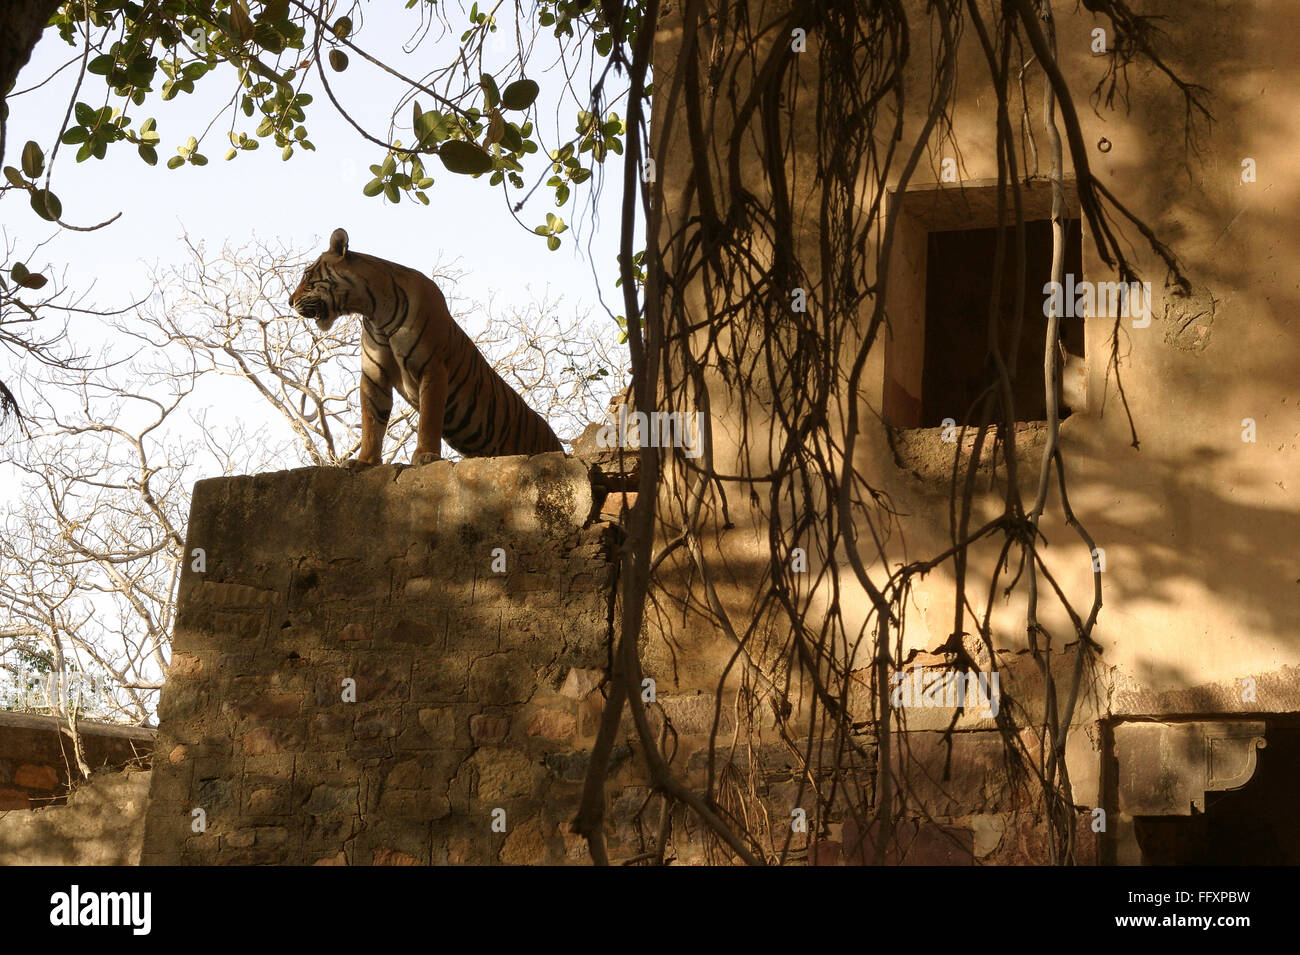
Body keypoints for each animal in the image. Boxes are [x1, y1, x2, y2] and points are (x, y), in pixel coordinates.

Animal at [290, 228, 564, 466]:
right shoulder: (374, 375)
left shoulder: (432, 367)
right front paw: (365, 461)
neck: (374, 310)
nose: (290, 301)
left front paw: (425, 456)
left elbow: (429, 417)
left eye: (307, 275)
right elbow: (372, 422)